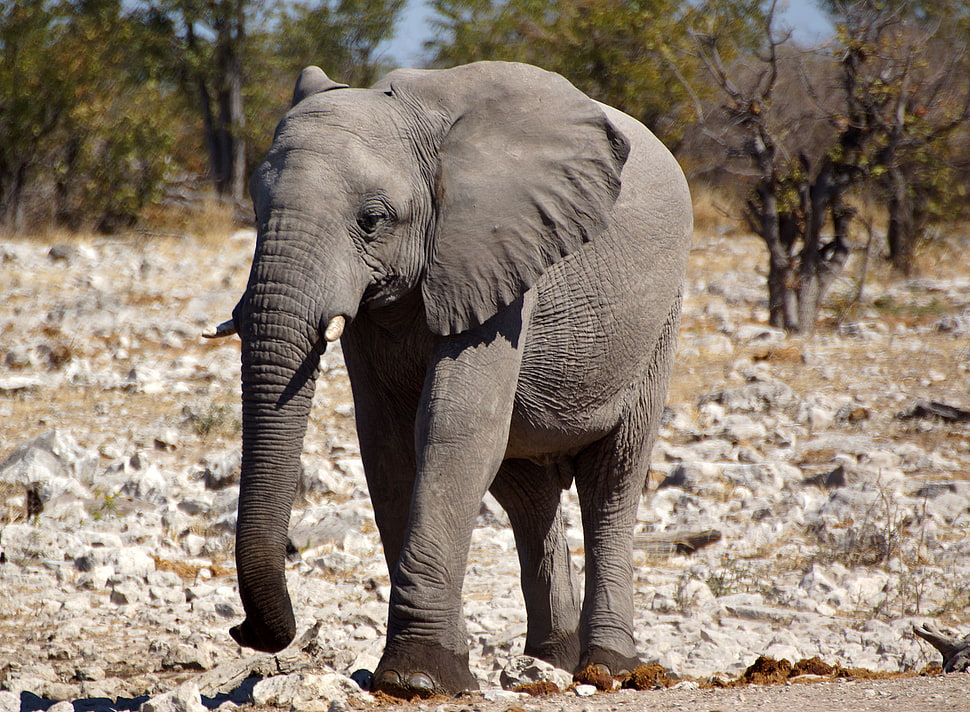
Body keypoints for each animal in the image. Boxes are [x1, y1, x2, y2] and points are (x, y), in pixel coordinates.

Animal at [205, 60, 692, 698]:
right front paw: (443, 674)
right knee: (527, 492)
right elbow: (388, 448)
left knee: (613, 477)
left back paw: (608, 667)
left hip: (658, 322)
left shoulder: (496, 254)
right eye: (258, 212)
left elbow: (452, 430)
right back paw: (550, 662)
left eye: (371, 220)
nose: (244, 631)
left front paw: (416, 679)